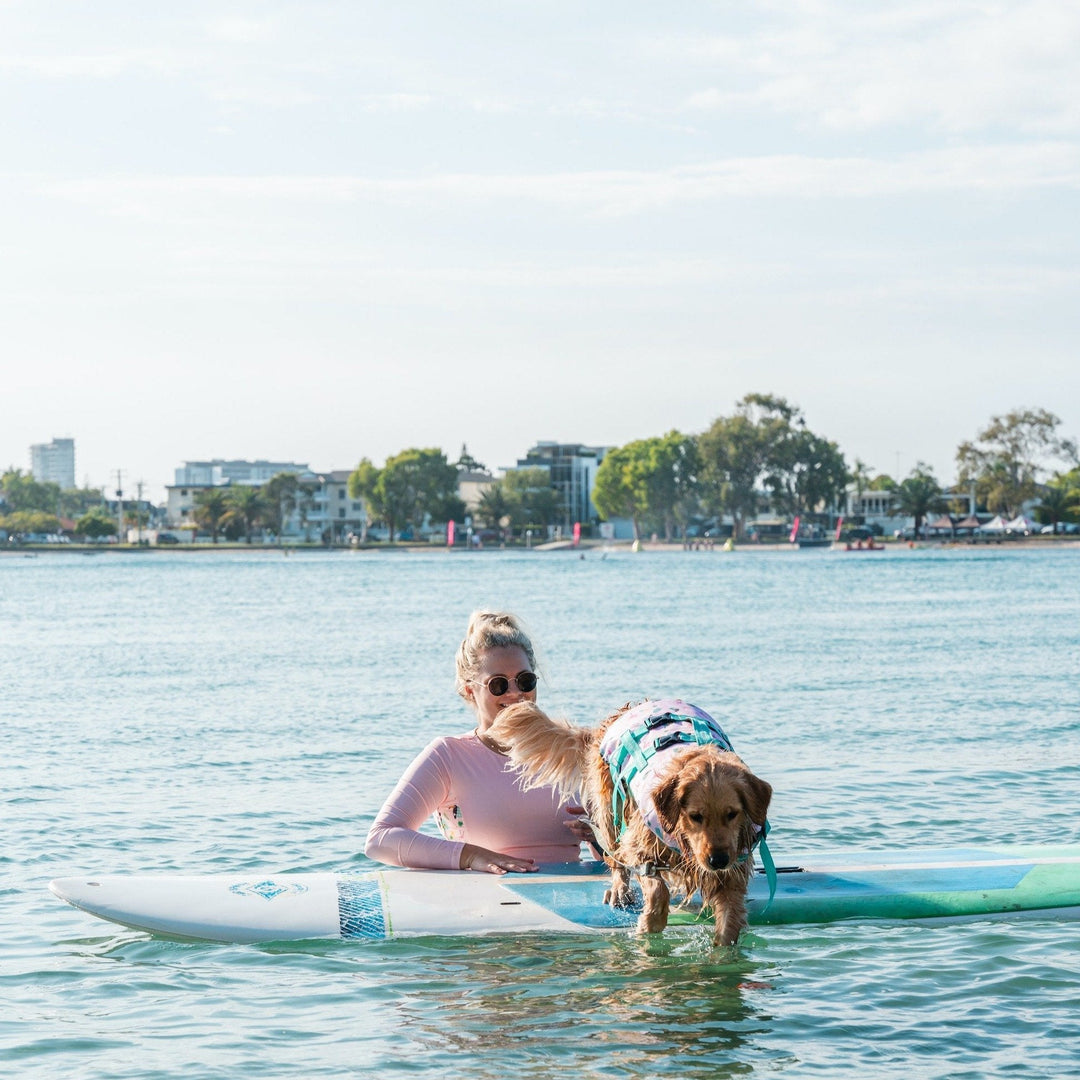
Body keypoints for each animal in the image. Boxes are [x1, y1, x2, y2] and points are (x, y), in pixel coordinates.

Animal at [486, 699, 773, 946]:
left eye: (732, 813)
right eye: (695, 816)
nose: (717, 861)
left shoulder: (732, 870)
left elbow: (729, 921)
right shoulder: (640, 845)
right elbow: (654, 887)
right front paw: (650, 922)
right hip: (610, 808)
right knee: (615, 857)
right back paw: (619, 891)